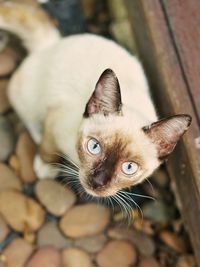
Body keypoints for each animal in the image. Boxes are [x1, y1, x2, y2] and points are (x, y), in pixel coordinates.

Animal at [0, 3, 191, 198]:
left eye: (129, 167)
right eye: (94, 147)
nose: (97, 183)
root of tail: (54, 43)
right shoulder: (55, 123)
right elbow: (48, 149)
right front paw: (47, 167)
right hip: (27, 99)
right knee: (31, 120)